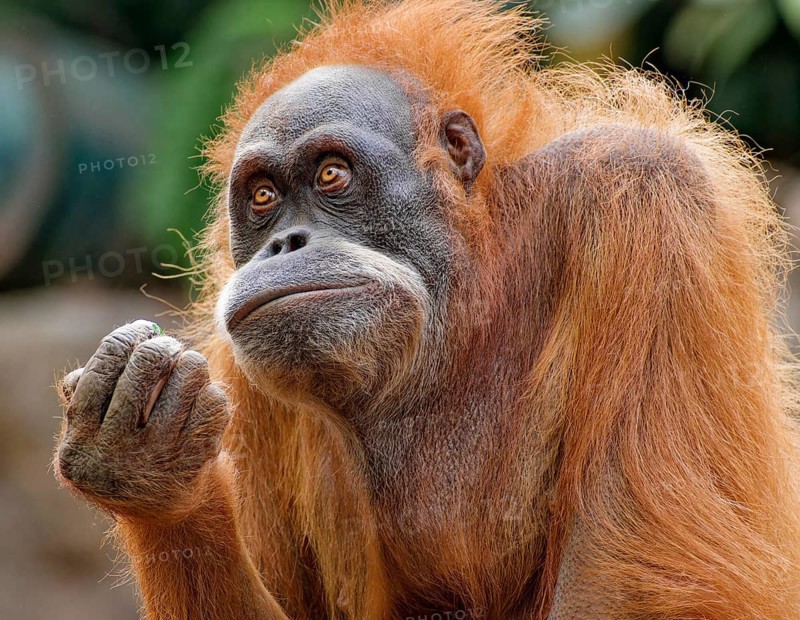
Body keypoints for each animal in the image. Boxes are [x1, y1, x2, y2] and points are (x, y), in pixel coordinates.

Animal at [53, 1, 800, 618]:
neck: (466, 296)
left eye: (331, 175)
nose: (283, 244)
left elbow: (629, 586)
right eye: (263, 197)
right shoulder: (246, 372)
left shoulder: (648, 191)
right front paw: (149, 473)